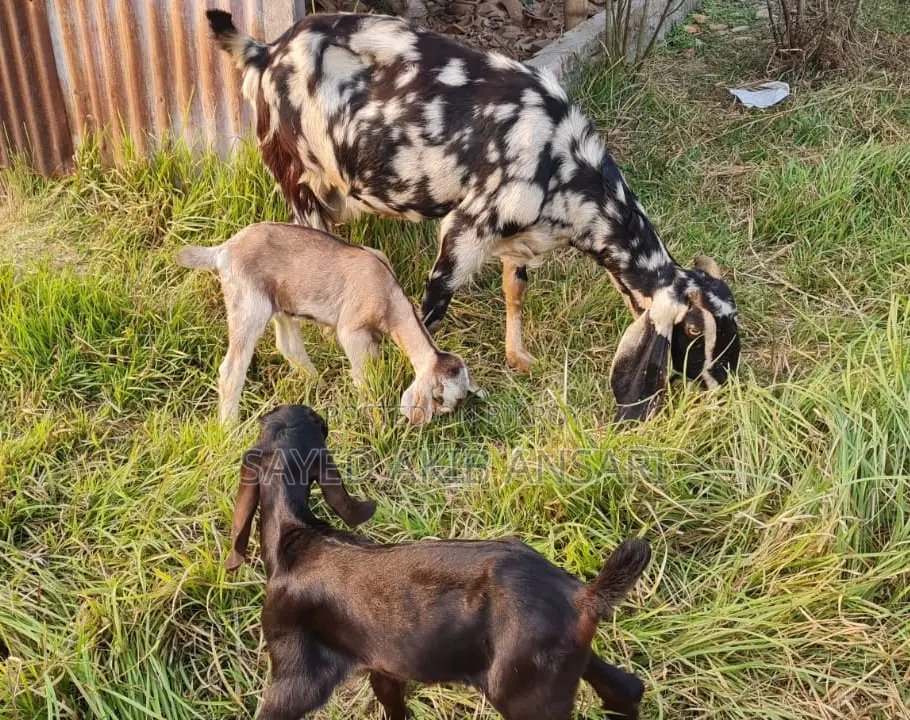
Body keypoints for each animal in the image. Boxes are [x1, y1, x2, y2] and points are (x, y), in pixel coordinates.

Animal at [176, 222, 481, 424]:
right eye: (438, 398)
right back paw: (231, 427)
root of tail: (224, 249)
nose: (427, 423)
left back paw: (317, 384)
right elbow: (364, 375)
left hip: (282, 304)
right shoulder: (352, 330)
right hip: (249, 303)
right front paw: (370, 414)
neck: (390, 298)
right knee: (232, 368)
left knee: (288, 345)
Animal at [205, 9, 741, 422]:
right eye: (695, 330)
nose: (726, 385)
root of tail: (265, 51)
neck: (564, 162)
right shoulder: (468, 226)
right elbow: (432, 307)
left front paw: (518, 357)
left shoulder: (518, 239)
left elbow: (515, 292)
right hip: (294, 172)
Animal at [227, 404, 652, 720]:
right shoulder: (383, 668)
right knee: (627, 690)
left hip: (527, 694)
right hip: (570, 664)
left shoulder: (294, 676)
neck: (295, 539)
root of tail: (581, 596)